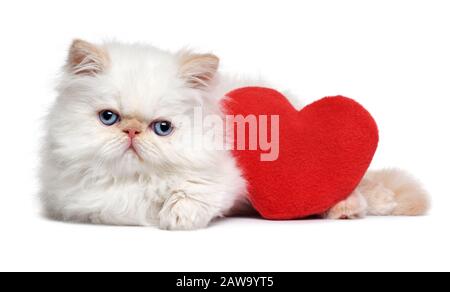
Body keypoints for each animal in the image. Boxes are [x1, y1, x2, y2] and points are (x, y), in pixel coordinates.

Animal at [40, 40, 430, 229]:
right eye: (109, 118)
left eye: (162, 128)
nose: (133, 131)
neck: (138, 179)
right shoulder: (83, 201)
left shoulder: (223, 179)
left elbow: (192, 194)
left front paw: (177, 219)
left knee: (359, 192)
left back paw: (347, 210)